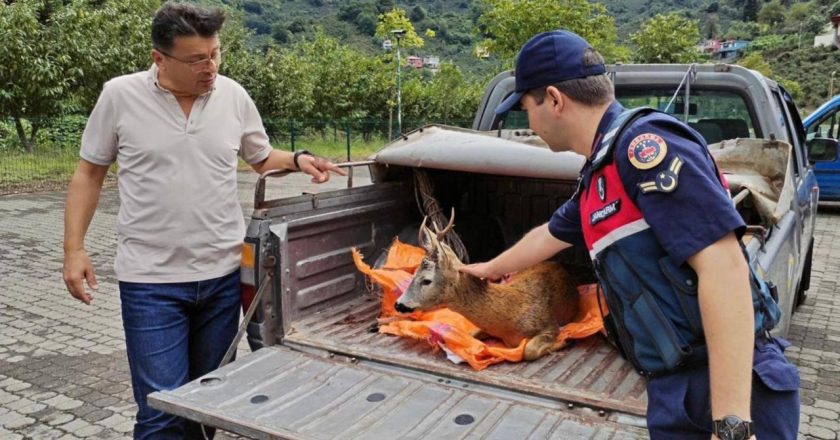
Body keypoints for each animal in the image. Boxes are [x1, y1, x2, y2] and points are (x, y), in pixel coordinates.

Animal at [396, 211, 580, 360]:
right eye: (413, 274)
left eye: (426, 280)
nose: (398, 304)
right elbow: (470, 335)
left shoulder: (549, 324)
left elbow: (529, 351)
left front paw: (564, 341)